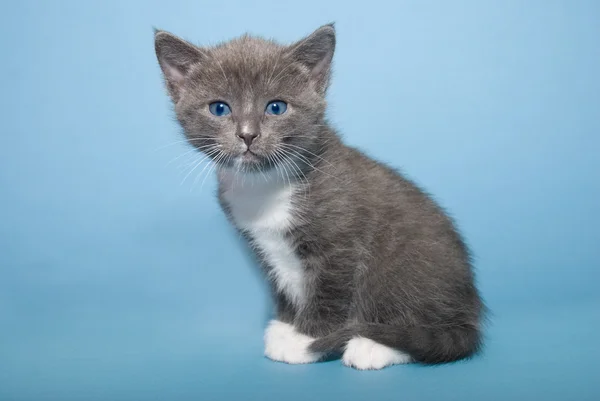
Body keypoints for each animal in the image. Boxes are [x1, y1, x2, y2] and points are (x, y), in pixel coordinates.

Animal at [154, 24, 482, 368]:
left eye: (276, 107)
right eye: (219, 108)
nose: (247, 134)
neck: (265, 185)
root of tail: (469, 312)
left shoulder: (339, 244)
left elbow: (329, 291)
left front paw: (306, 339)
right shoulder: (262, 246)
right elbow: (281, 283)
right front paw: (286, 325)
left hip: (403, 268)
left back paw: (373, 346)